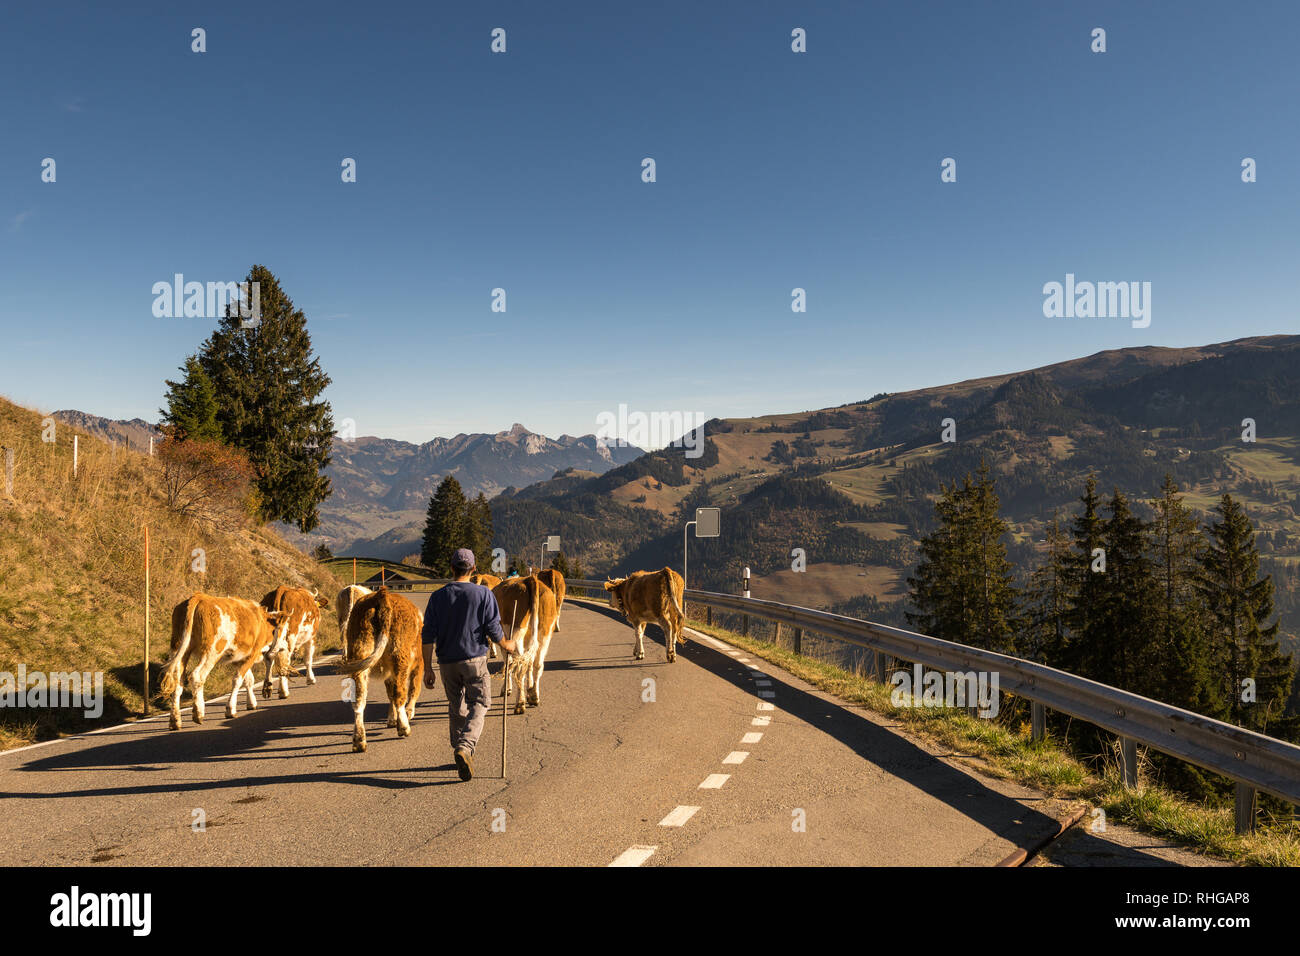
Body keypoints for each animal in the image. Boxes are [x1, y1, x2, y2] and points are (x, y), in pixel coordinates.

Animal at [159, 595, 287, 728]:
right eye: (284, 633)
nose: (285, 647)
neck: (263, 623)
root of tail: (198, 596)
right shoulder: (252, 654)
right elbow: (237, 680)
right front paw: (231, 710)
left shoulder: (238, 657)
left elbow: (249, 679)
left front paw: (251, 703)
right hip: (212, 651)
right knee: (197, 676)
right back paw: (198, 713)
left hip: (178, 648)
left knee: (177, 682)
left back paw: (175, 720)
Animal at [335, 587, 421, 749]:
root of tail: (382, 594)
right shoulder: (419, 662)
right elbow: (412, 688)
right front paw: (404, 715)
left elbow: (390, 693)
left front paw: (392, 719)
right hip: (400, 657)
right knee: (400, 694)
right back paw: (404, 728)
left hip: (359, 652)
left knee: (359, 699)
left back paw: (359, 740)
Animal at [488, 572, 556, 712]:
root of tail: (530, 579)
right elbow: (528, 663)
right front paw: (529, 691)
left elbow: (508, 662)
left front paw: (507, 689)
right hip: (545, 632)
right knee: (537, 664)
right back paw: (534, 697)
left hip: (515, 630)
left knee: (518, 667)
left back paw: (520, 704)